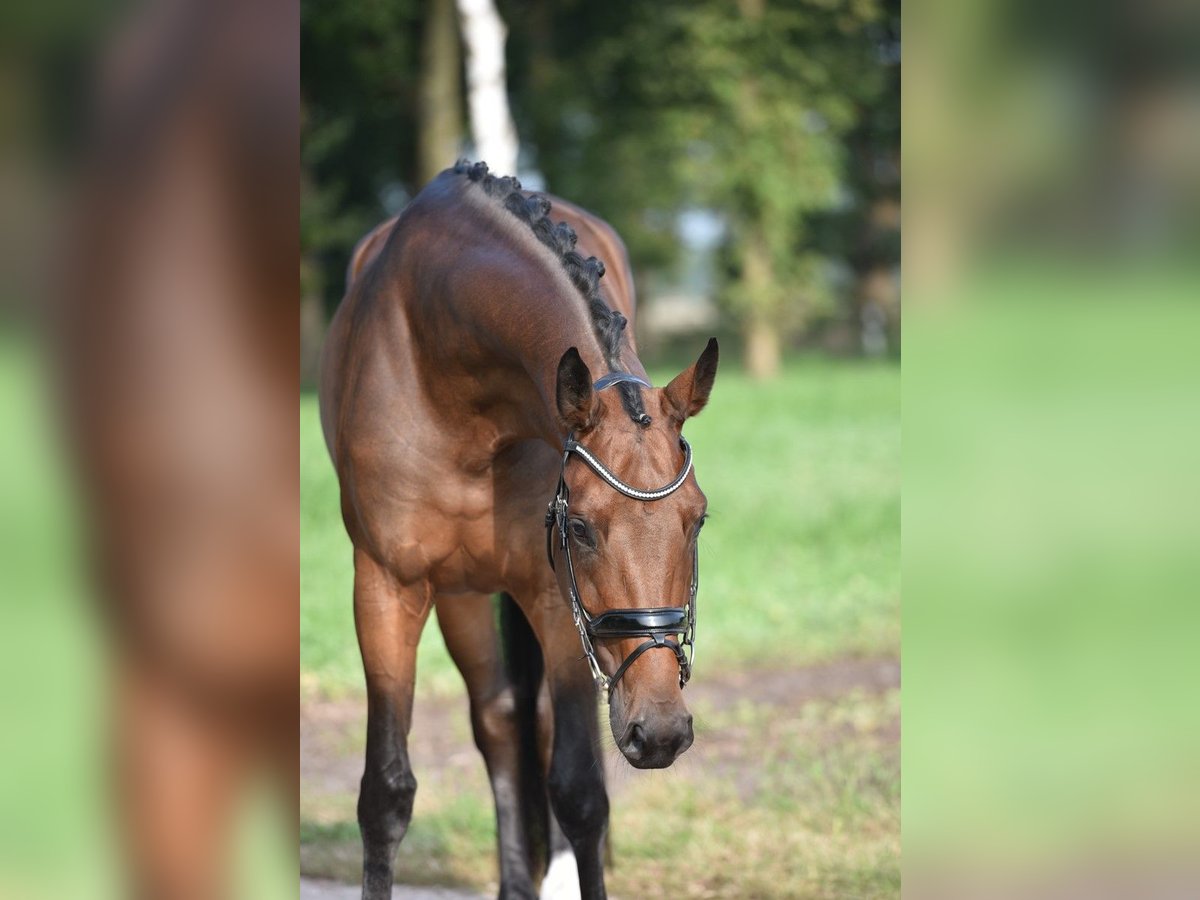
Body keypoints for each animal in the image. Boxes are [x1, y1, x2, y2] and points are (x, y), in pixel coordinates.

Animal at [319, 164, 715, 900]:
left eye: (697, 518)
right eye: (581, 527)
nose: (662, 730)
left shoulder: (551, 592)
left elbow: (581, 789)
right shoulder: (386, 585)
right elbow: (385, 794)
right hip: (462, 592)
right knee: (499, 718)